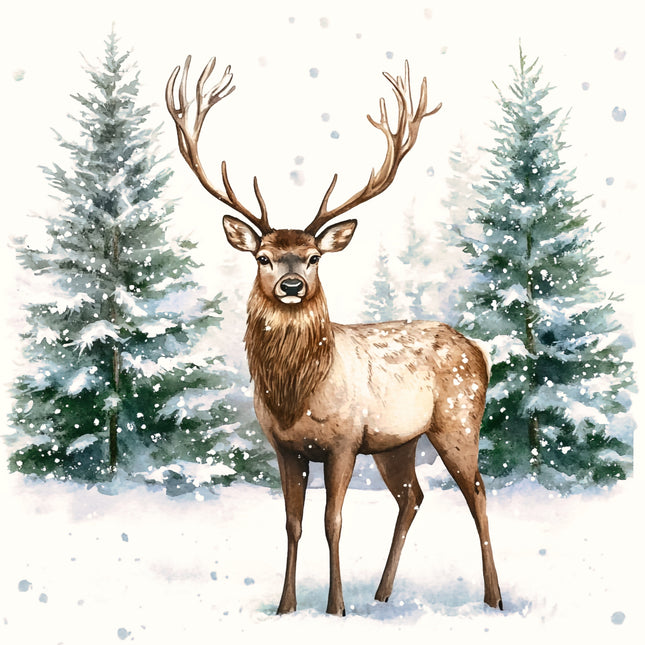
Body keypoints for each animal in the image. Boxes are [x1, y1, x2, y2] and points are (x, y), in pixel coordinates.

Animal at [166, 56, 503, 616]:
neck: (295, 394)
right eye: (263, 257)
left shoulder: (344, 440)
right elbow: (292, 523)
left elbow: (333, 521)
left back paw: (493, 598)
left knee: (476, 489)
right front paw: (286, 607)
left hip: (458, 419)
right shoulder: (285, 448)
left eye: (314, 257)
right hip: (396, 443)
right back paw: (384, 594)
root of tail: (480, 349)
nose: (292, 284)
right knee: (412, 496)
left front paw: (335, 608)